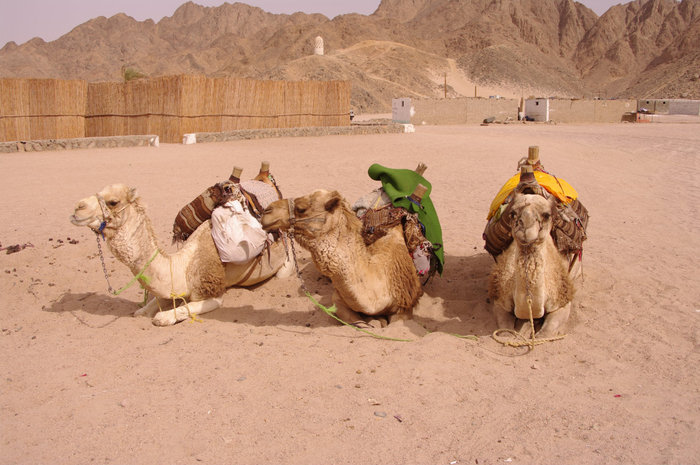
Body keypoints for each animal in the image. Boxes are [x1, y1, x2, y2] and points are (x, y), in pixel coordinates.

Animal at [69, 183, 292, 324]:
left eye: (113, 202)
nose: (77, 208)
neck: (183, 265)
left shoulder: (213, 294)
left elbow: (165, 316)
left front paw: (164, 316)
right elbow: (147, 307)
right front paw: (144, 309)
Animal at [486, 190, 576, 338]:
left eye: (546, 215)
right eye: (513, 213)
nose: (525, 228)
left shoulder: (562, 300)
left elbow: (545, 333)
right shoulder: (500, 300)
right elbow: (506, 331)